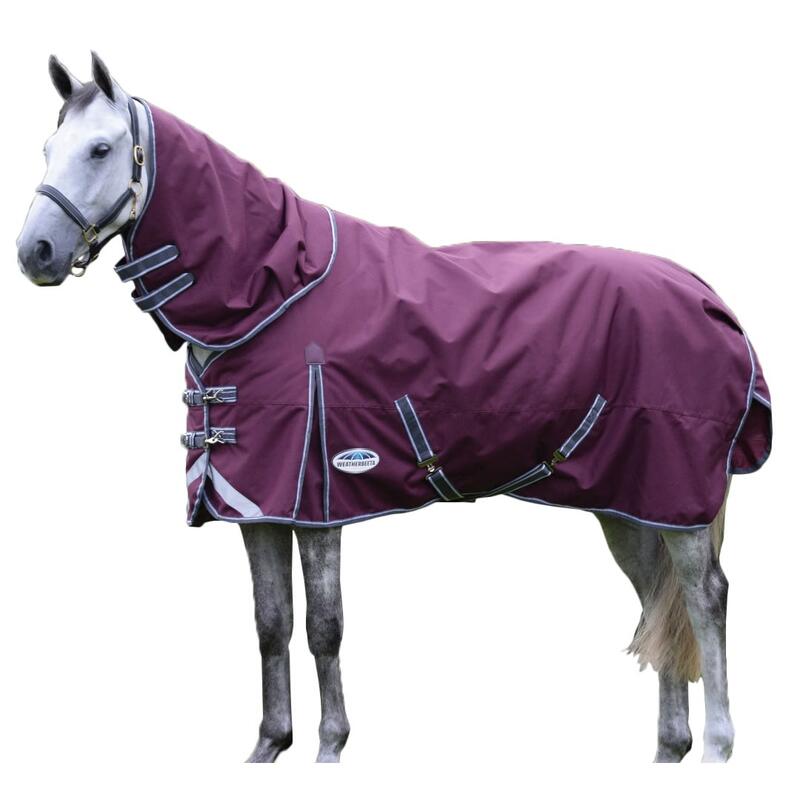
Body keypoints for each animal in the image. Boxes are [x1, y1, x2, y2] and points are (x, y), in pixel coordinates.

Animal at [16, 53, 771, 763]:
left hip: (677, 498)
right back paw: (668, 748)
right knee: (657, 603)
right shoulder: (255, 503)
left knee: (703, 599)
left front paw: (329, 745)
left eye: (101, 149)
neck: (269, 295)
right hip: (631, 503)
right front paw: (269, 744)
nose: (35, 253)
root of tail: (708, 298)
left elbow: (323, 626)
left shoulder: (317, 498)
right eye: (49, 147)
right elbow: (270, 624)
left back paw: (716, 746)